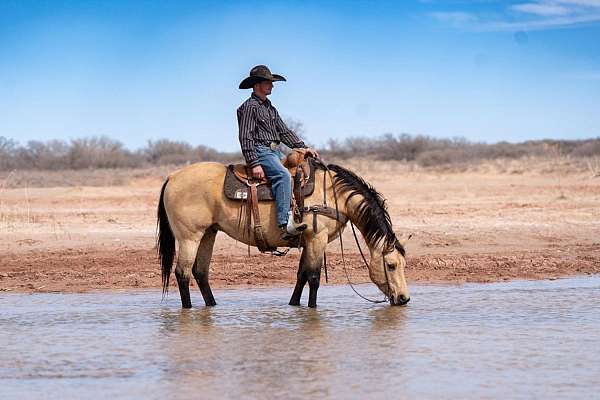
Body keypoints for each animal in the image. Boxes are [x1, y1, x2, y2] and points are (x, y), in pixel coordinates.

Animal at [155, 158, 410, 308]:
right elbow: (314, 278)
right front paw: (312, 310)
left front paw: (294, 306)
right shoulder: (317, 238)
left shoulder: (308, 240)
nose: (404, 298)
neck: (333, 194)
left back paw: (212, 306)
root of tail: (172, 177)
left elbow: (302, 275)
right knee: (182, 273)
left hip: (208, 233)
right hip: (189, 237)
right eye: (391, 265)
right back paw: (188, 309)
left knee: (200, 272)